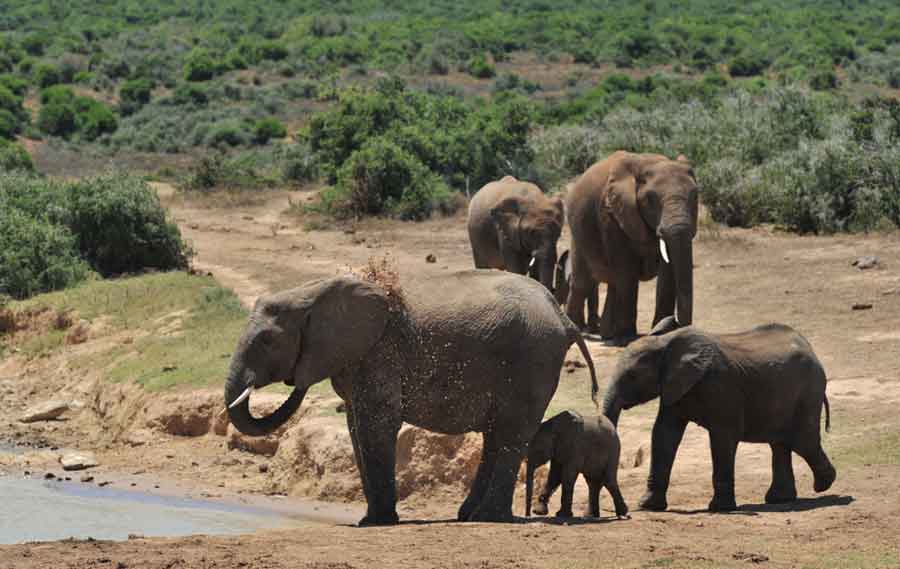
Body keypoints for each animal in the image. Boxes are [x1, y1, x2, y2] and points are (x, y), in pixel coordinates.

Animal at [223, 270, 596, 524]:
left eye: (267, 340)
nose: (294, 379)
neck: (311, 292)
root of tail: (563, 316)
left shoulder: (379, 352)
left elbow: (377, 424)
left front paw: (377, 522)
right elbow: (356, 427)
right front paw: (371, 519)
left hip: (533, 357)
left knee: (510, 433)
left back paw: (486, 517)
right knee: (497, 435)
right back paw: (469, 515)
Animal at [568, 149, 700, 342]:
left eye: (695, 195)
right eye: (650, 199)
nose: (678, 324)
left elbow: (667, 272)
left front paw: (662, 331)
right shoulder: (611, 214)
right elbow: (626, 270)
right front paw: (627, 338)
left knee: (611, 283)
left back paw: (607, 334)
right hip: (578, 234)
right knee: (582, 283)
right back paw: (579, 330)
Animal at [600, 316, 832, 510]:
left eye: (632, 376)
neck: (665, 343)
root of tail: (812, 351)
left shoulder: (721, 385)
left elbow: (723, 437)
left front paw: (720, 508)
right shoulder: (675, 387)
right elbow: (664, 434)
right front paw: (648, 506)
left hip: (807, 392)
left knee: (802, 441)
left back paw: (823, 486)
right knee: (781, 444)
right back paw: (780, 499)